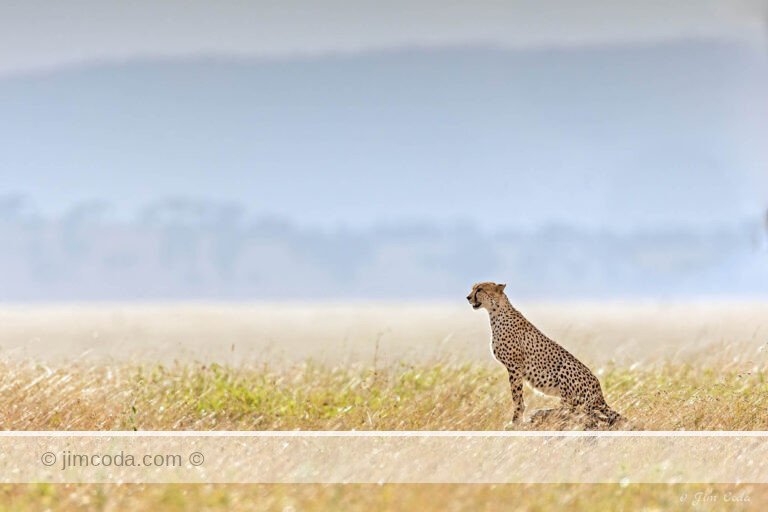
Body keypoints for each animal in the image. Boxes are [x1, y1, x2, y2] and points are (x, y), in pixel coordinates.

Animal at [467, 281, 621, 428]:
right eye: (473, 288)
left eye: (480, 289)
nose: (468, 297)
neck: (496, 312)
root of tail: (600, 394)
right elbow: (518, 396)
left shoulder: (514, 366)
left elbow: (517, 396)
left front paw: (515, 420)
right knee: (585, 413)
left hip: (566, 367)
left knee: (575, 410)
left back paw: (543, 412)